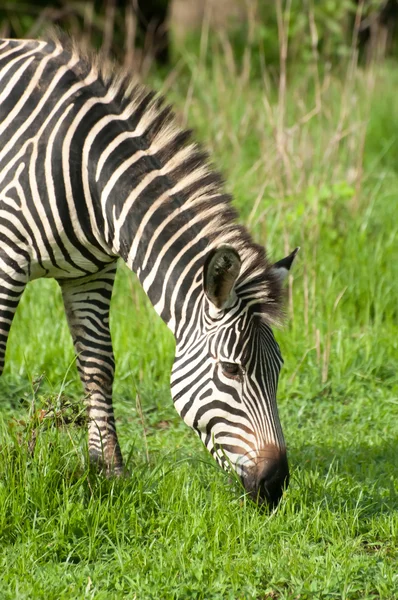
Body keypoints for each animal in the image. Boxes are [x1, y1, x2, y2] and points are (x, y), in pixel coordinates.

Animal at [0, 36, 296, 506]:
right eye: (231, 370)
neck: (92, 178)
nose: (275, 484)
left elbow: (98, 364)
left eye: (279, 369)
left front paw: (108, 469)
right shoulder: (7, 258)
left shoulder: (92, 273)